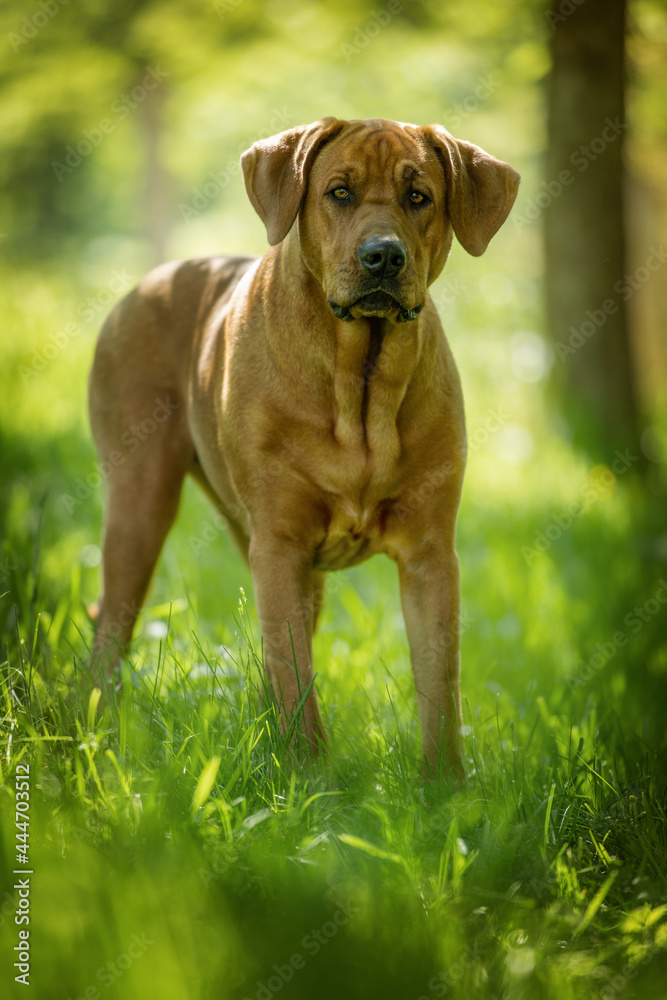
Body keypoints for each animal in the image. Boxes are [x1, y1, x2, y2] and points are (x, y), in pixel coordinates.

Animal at [88, 119, 520, 780]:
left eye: (418, 197)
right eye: (339, 192)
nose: (383, 255)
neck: (360, 384)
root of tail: (150, 280)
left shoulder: (429, 554)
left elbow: (439, 686)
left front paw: (446, 787)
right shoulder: (281, 544)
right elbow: (297, 679)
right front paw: (310, 780)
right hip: (140, 507)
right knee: (110, 626)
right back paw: (96, 729)